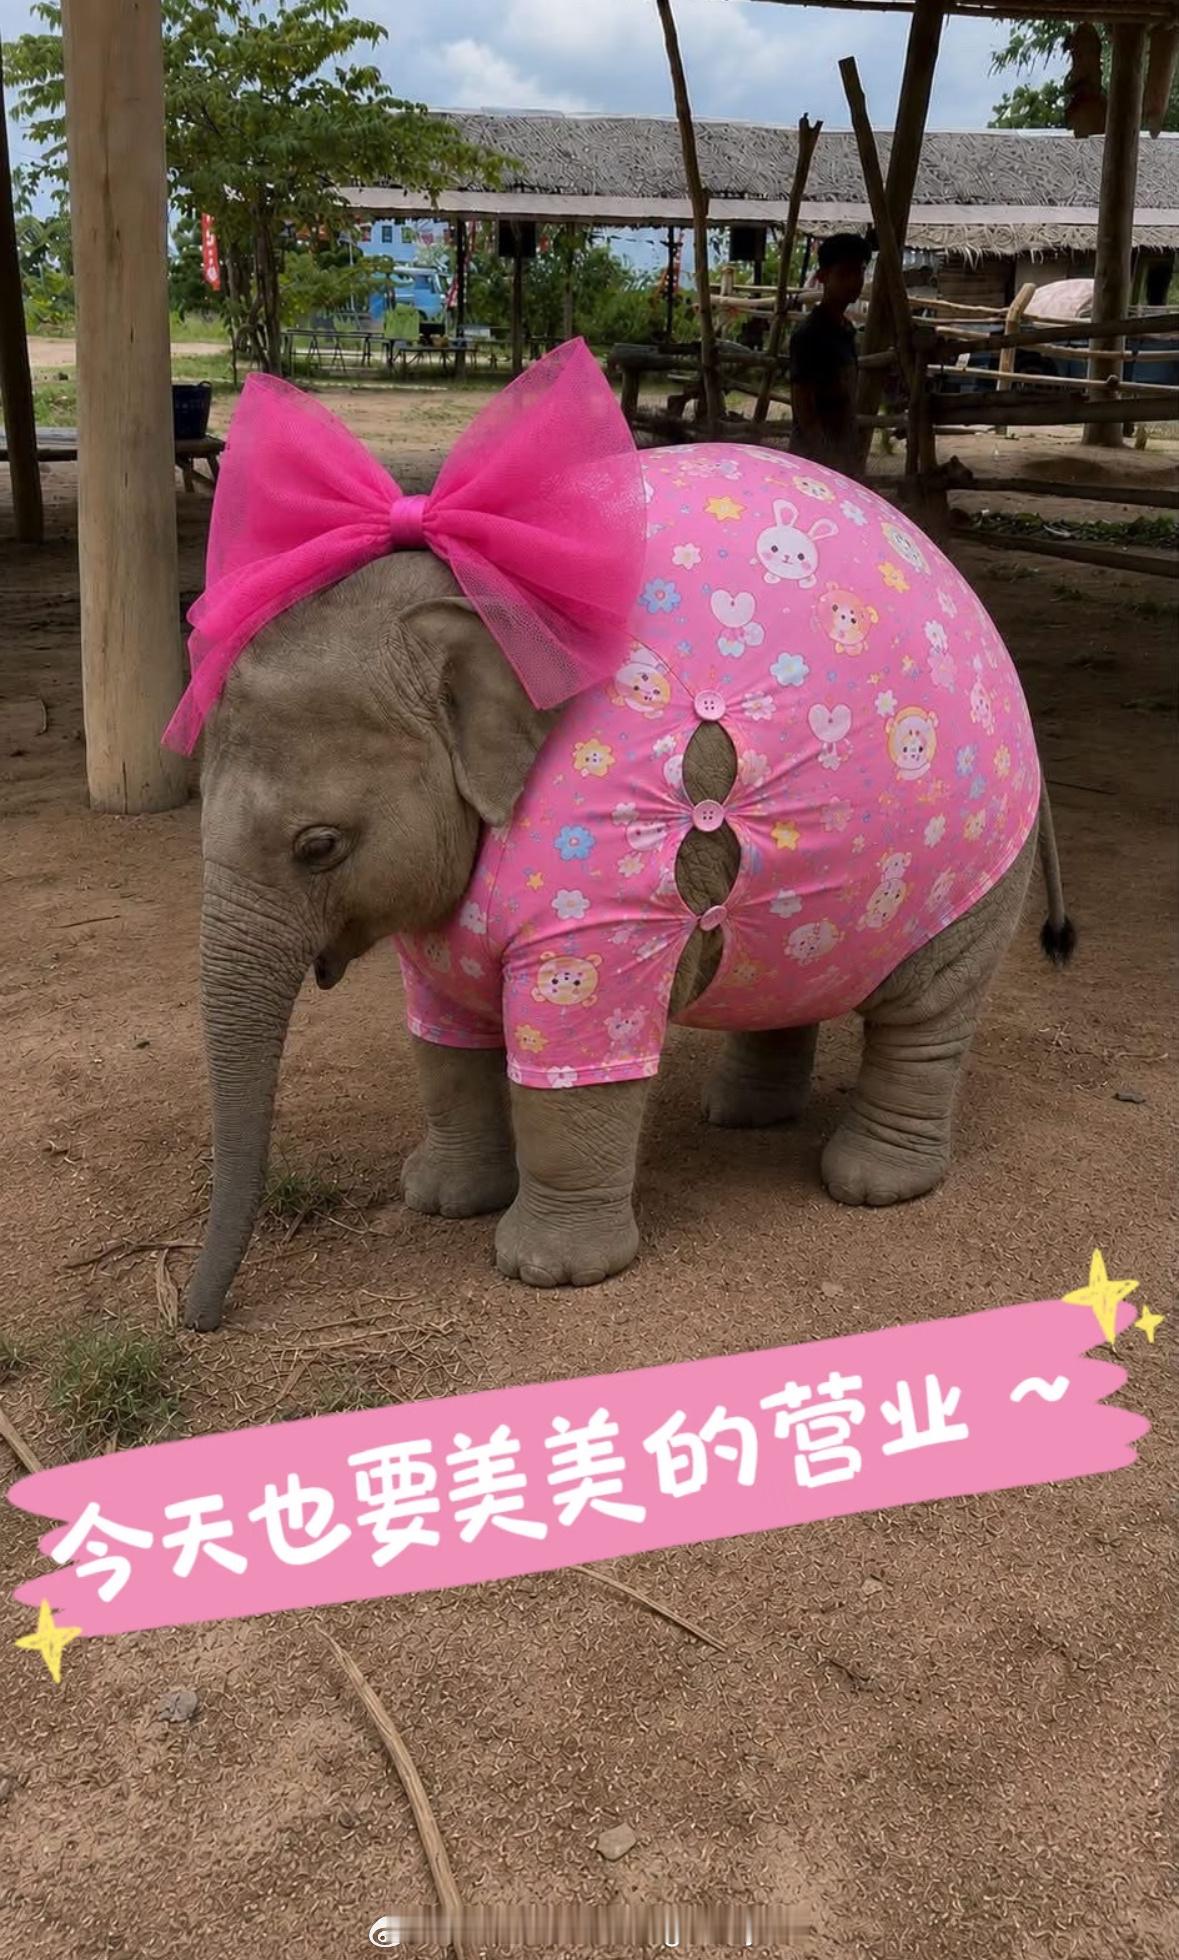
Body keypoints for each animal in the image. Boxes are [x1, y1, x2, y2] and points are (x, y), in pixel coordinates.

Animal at [182, 442, 1073, 1334]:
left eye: (318, 846)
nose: (200, 1321)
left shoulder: (602, 887)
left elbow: (573, 1054)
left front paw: (549, 1272)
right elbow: (442, 1040)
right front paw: (437, 1200)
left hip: (974, 862)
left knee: (927, 1014)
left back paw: (871, 1184)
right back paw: (742, 1117)